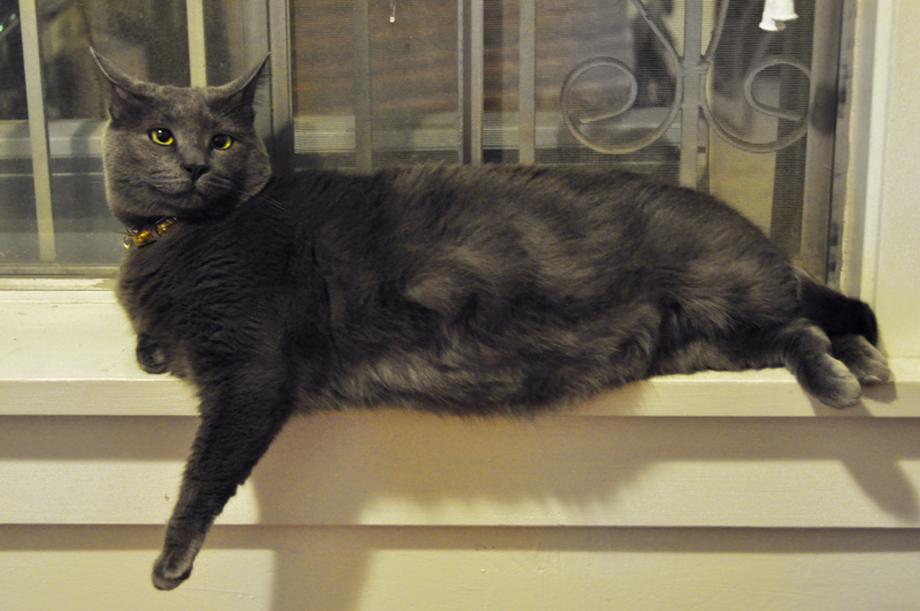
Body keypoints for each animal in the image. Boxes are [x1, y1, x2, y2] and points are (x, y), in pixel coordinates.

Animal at [90, 50, 888, 592]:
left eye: (222, 139)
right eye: (161, 135)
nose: (195, 163)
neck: (172, 241)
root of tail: (755, 234)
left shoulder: (251, 369)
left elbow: (207, 466)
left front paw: (170, 562)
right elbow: (151, 351)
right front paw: (153, 350)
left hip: (726, 298)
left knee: (809, 322)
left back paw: (851, 378)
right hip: (707, 340)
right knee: (803, 329)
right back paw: (864, 372)